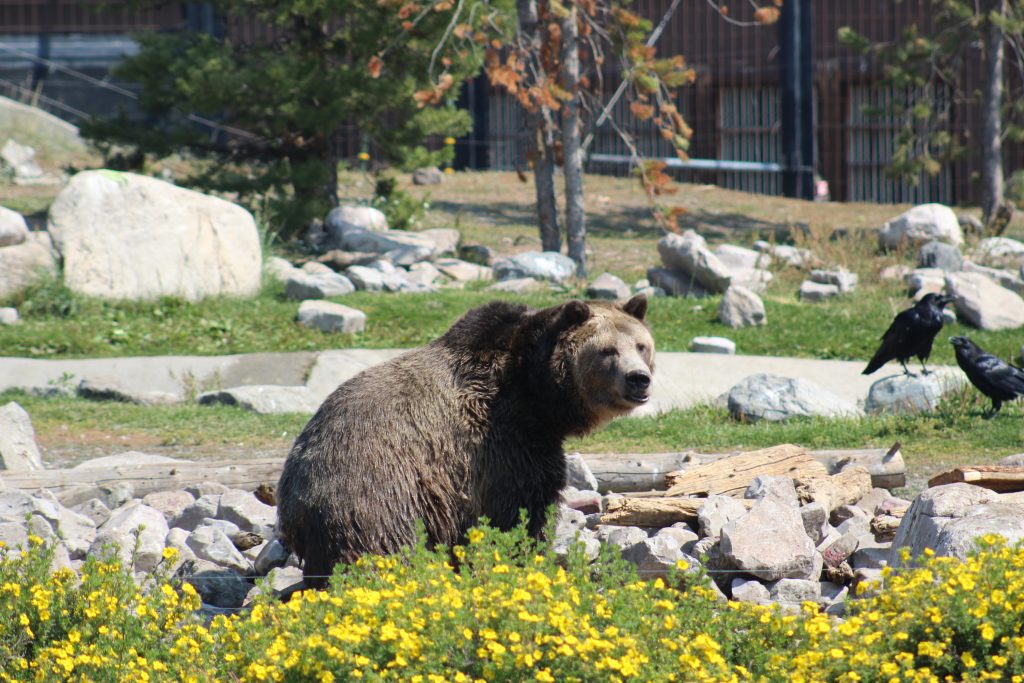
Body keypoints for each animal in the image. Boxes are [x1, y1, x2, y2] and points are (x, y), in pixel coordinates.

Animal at [276, 294, 651, 589]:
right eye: (607, 350)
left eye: (641, 345)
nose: (639, 379)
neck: (536, 391)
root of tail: (292, 497)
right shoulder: (502, 440)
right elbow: (522, 509)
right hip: (377, 491)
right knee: (383, 550)